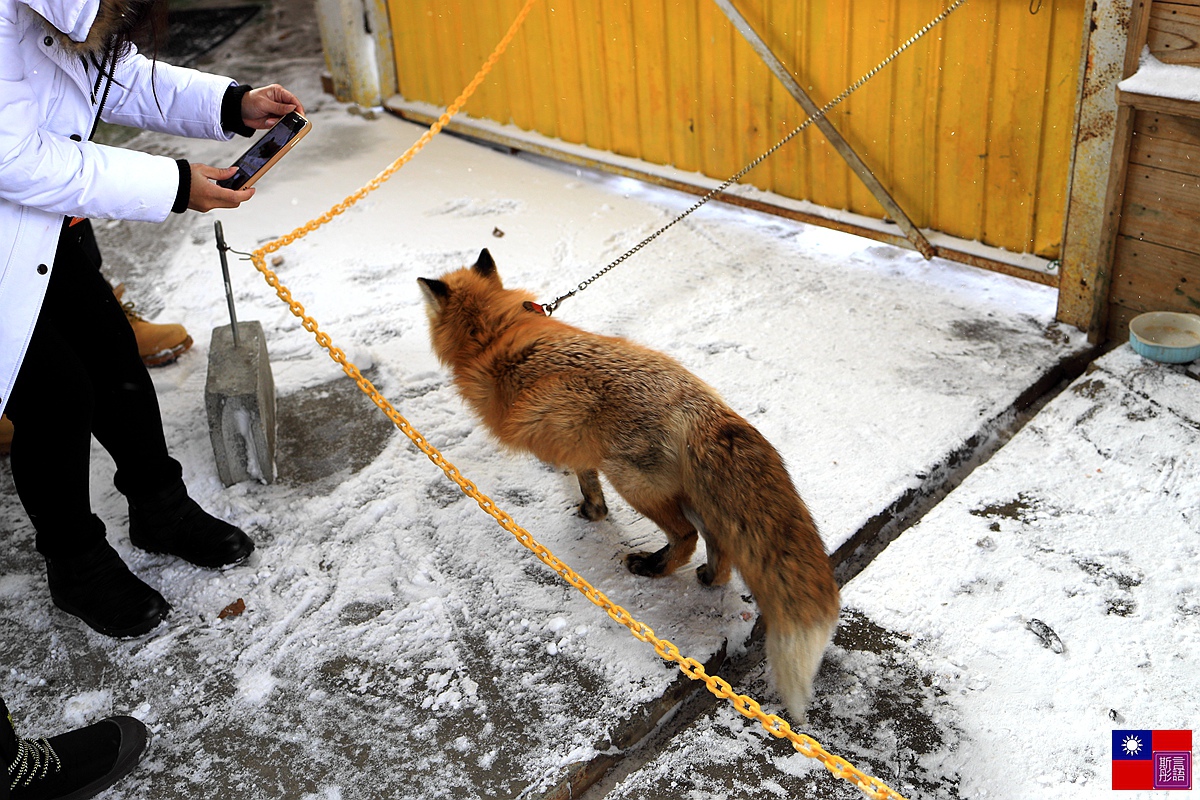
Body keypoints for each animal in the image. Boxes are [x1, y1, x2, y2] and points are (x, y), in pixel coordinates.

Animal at [417, 248, 840, 719]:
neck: (492, 332)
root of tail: (701, 405)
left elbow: (577, 476)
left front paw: (576, 497)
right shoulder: (581, 448)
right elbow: (588, 484)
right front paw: (591, 510)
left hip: (634, 484)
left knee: (687, 536)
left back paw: (653, 568)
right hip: (685, 493)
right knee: (719, 541)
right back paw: (710, 577)